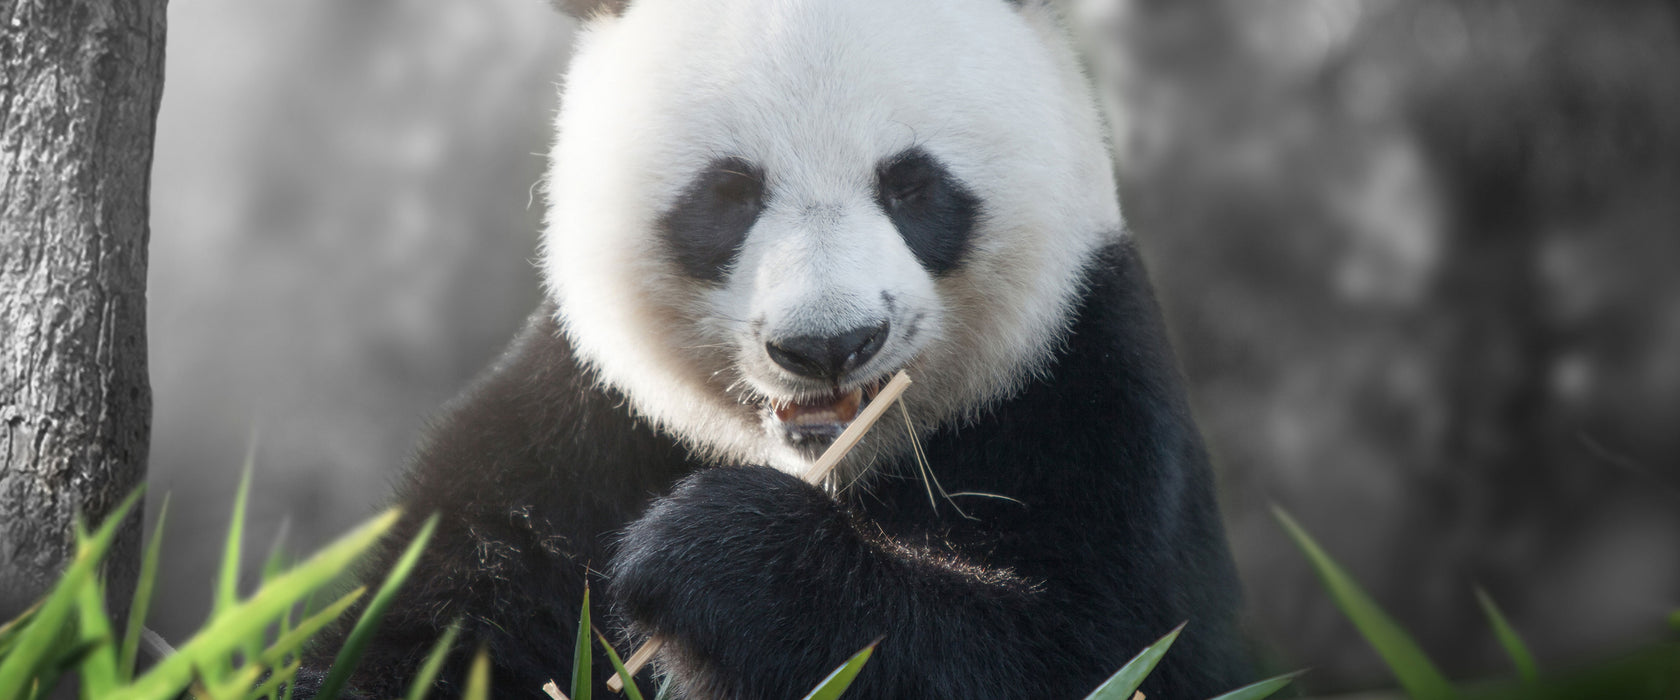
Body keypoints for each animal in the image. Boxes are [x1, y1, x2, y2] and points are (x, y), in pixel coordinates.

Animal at [299, 0, 1249, 694]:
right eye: (729, 192)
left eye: (912, 185)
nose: (829, 345)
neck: (832, 464)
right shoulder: (574, 429)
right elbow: (424, 623)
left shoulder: (1085, 394)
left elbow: (1092, 650)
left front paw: (713, 557)